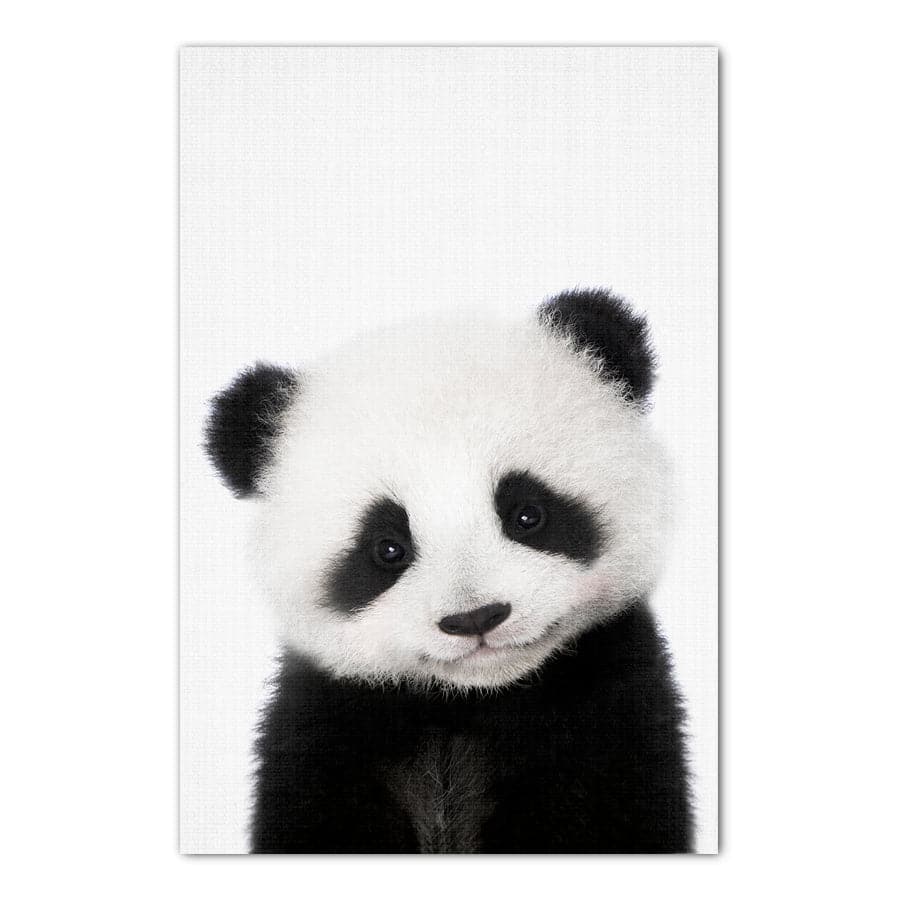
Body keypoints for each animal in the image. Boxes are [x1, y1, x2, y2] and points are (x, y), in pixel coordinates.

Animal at [205, 288, 693, 853]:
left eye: (527, 514)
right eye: (387, 548)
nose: (476, 618)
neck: (468, 703)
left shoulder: (611, 713)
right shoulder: (326, 728)